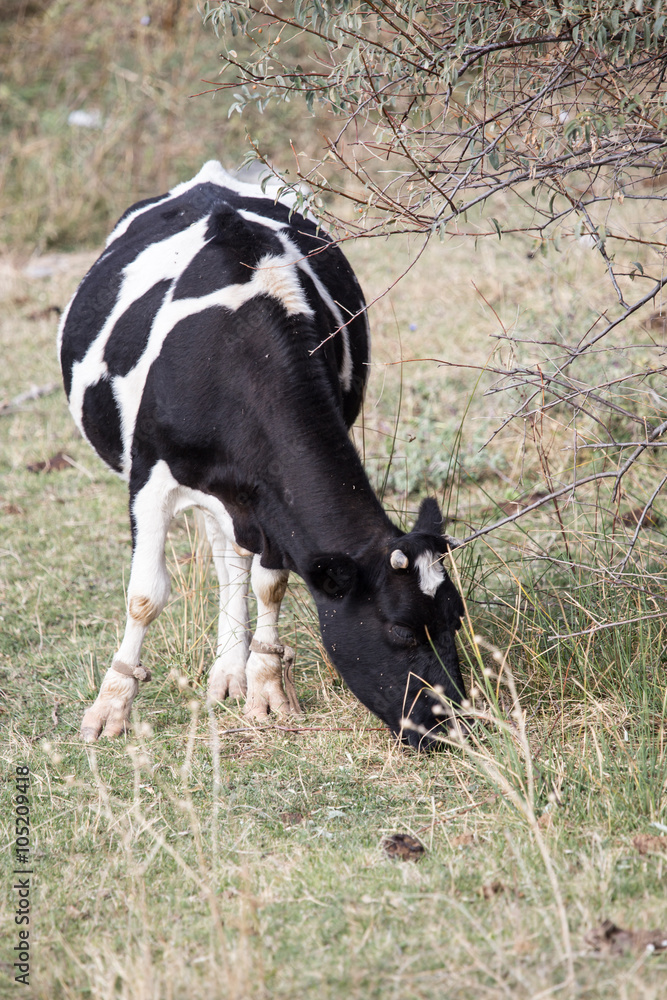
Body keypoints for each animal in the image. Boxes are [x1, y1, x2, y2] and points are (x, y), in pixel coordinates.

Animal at [57, 160, 466, 750]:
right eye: (401, 631)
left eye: (455, 620)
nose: (453, 726)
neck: (239, 351)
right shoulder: (150, 479)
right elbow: (144, 596)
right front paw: (109, 708)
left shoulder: (272, 499)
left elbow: (269, 583)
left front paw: (266, 688)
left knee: (231, 559)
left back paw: (231, 669)